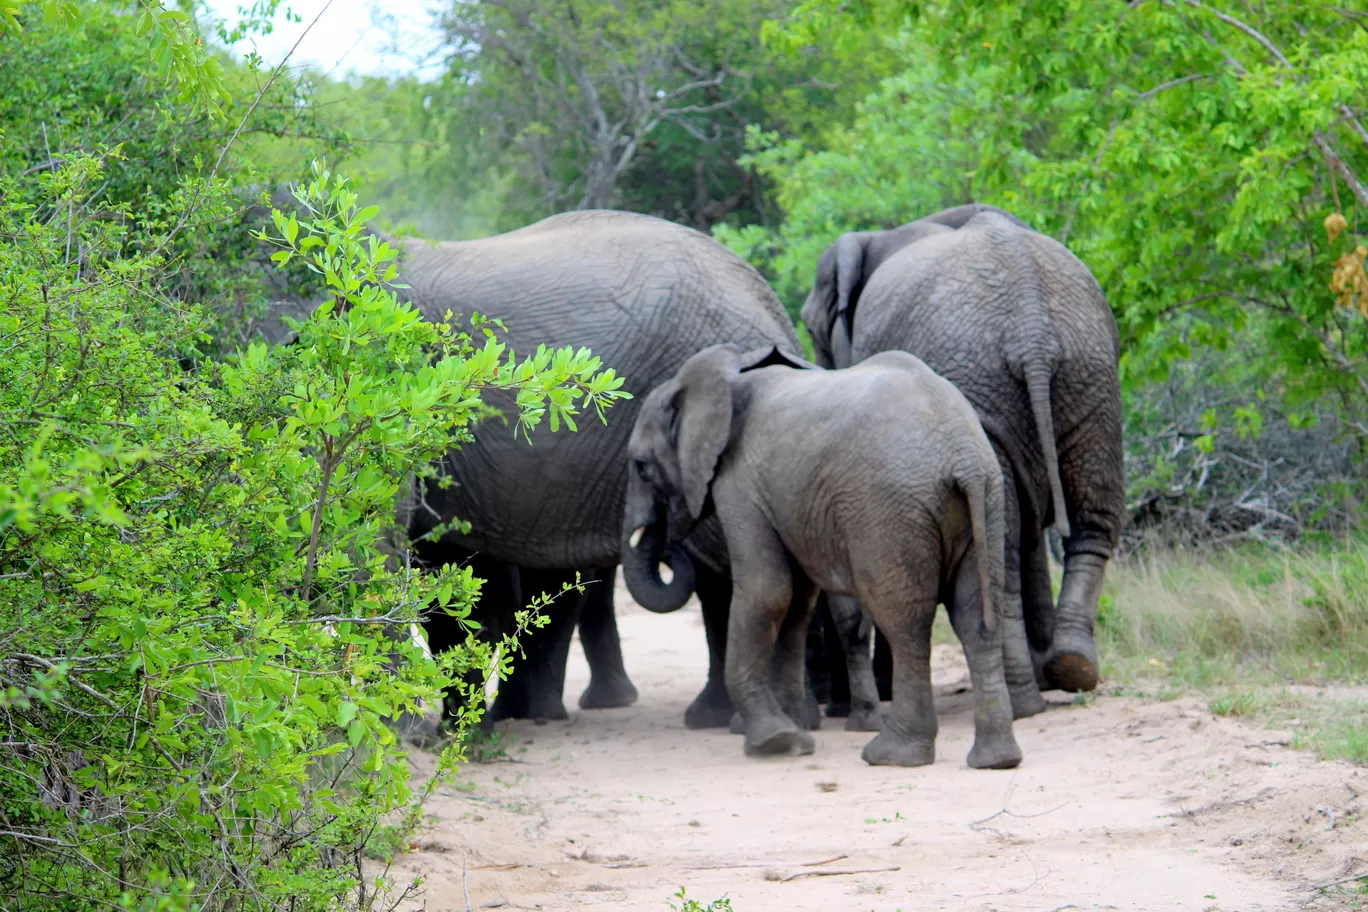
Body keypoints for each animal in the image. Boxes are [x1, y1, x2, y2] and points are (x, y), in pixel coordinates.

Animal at [626, 344, 1023, 771]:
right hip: (988, 501)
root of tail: (963, 456)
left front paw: (773, 742)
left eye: (641, 467)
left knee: (906, 622)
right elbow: (796, 605)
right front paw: (795, 736)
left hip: (888, 511)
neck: (727, 374)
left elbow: (768, 591)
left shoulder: (740, 485)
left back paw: (890, 756)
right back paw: (995, 760)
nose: (666, 545)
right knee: (975, 618)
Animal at [798, 200, 1121, 700]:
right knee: (1088, 517)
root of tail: (1032, 328)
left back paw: (1026, 688)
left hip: (998, 378)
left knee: (1001, 534)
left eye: (814, 330)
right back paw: (1071, 668)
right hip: (1090, 373)